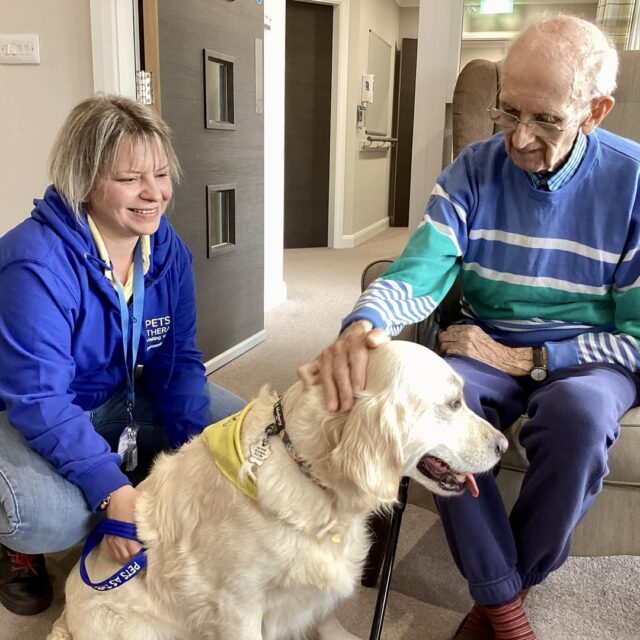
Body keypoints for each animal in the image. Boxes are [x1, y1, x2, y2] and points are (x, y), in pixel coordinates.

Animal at [48, 342, 504, 640]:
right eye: (453, 403)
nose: (502, 446)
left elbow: (325, 617)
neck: (317, 482)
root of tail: (65, 619)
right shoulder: (238, 606)